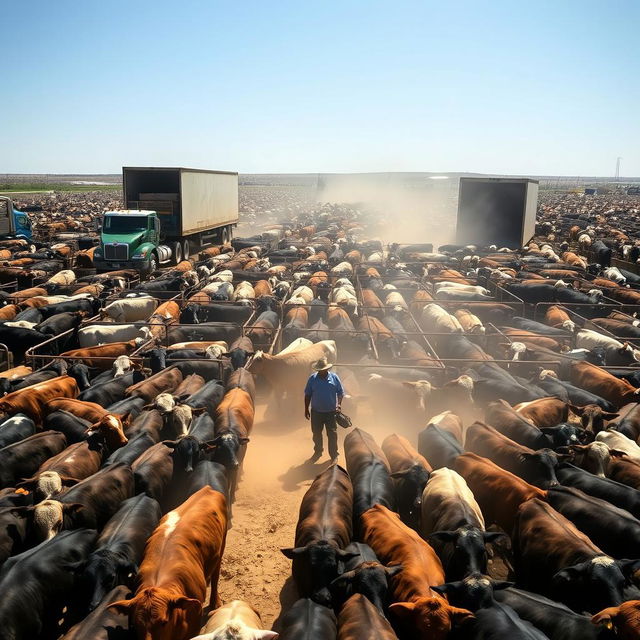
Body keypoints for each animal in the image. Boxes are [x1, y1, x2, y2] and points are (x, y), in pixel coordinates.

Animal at [109, 484, 228, 640]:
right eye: (135, 625)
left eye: (164, 622)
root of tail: (207, 489)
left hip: (222, 545)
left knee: (215, 576)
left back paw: (215, 603)